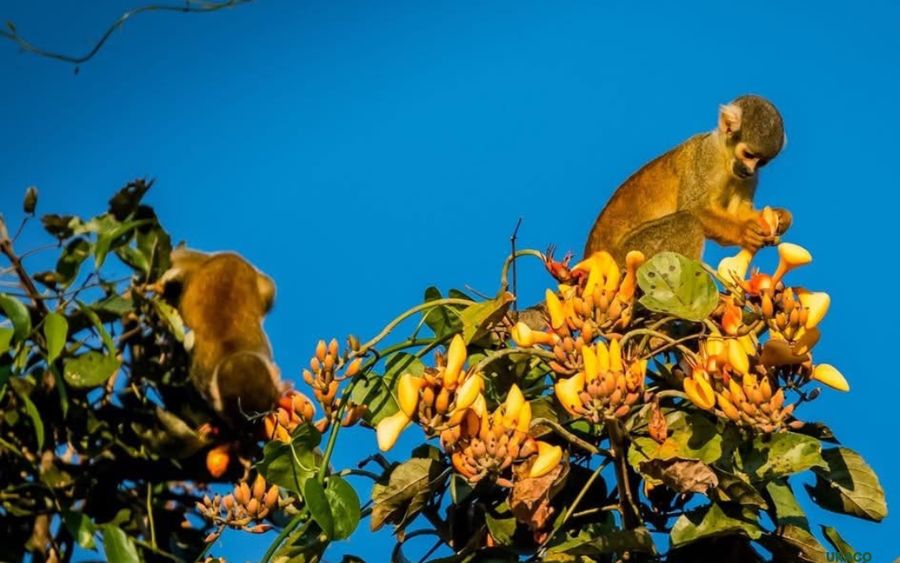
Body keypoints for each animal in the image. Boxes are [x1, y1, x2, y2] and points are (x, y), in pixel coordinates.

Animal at [584, 94, 791, 265]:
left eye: (761, 162)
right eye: (748, 155)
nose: (748, 170)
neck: (724, 157)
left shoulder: (749, 179)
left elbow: (738, 211)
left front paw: (780, 217)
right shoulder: (704, 158)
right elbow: (694, 209)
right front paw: (744, 232)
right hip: (630, 256)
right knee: (688, 221)